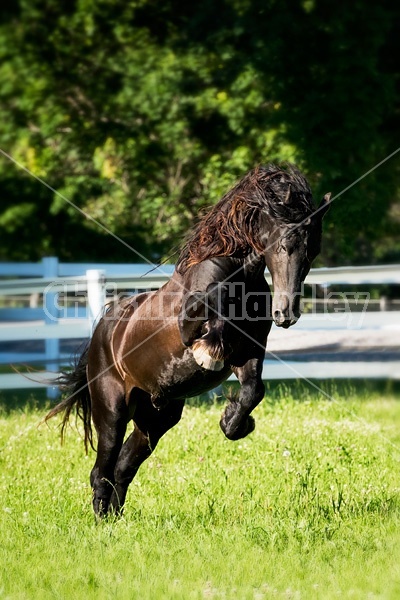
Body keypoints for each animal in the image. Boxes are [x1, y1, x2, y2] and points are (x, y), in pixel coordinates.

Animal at [45, 163, 330, 516]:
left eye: (313, 251)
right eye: (285, 244)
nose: (286, 313)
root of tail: (102, 333)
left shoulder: (249, 352)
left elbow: (253, 391)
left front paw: (233, 422)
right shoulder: (191, 326)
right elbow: (209, 318)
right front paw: (207, 355)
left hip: (156, 418)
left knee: (122, 468)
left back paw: (115, 518)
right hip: (112, 411)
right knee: (102, 470)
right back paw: (101, 520)